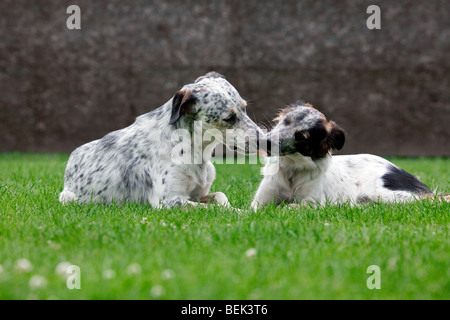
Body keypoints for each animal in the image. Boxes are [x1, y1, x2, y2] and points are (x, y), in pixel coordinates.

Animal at [60, 72, 264, 208]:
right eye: (229, 118)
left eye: (245, 108)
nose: (265, 141)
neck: (195, 150)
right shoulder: (171, 201)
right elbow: (212, 210)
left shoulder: (199, 194)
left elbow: (221, 198)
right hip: (68, 197)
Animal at [250, 101, 436, 209]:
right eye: (286, 121)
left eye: (302, 137)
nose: (265, 142)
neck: (291, 173)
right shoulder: (258, 203)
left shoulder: (314, 203)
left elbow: (291, 207)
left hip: (383, 193)